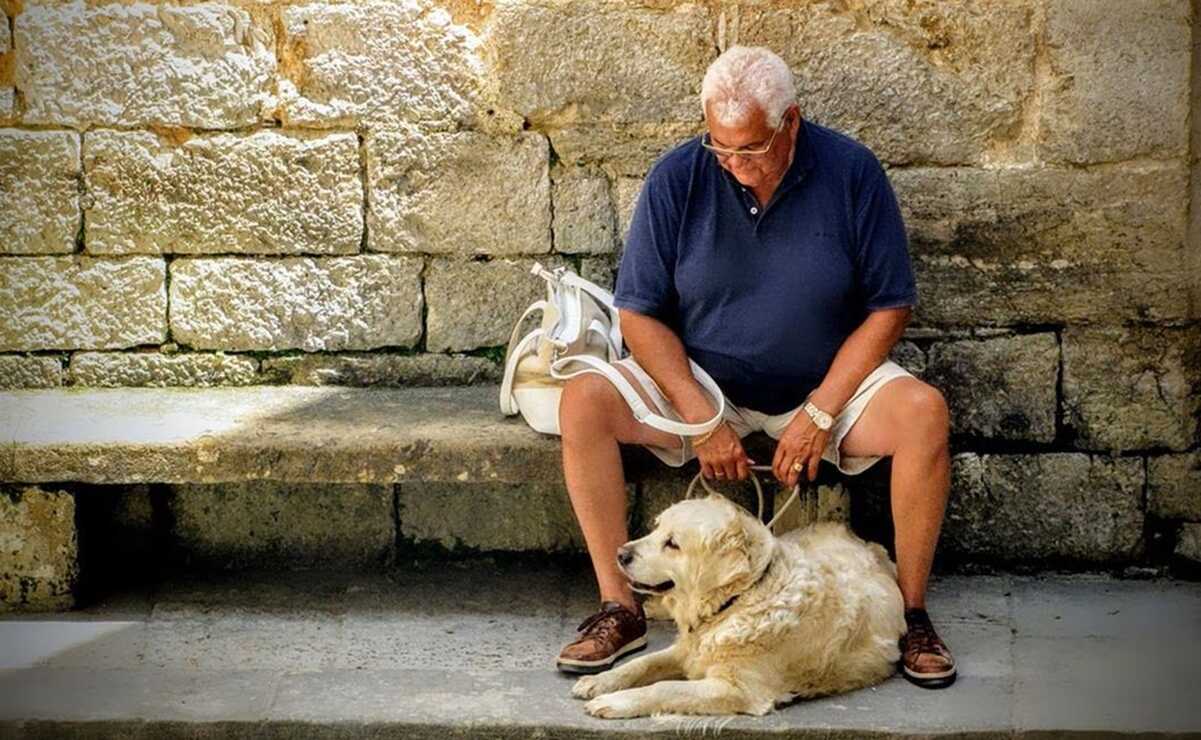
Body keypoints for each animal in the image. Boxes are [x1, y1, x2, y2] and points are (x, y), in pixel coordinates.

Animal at [571, 492, 903, 715]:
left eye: (673, 544)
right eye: (656, 528)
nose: (620, 554)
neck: (738, 601)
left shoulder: (736, 689)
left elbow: (664, 687)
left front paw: (614, 701)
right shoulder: (686, 650)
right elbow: (641, 663)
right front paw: (599, 681)